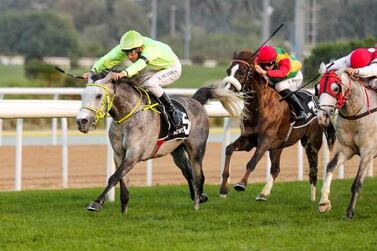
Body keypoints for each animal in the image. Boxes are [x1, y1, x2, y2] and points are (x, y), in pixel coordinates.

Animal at [75, 71, 212, 213]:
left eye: (98, 95)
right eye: (82, 95)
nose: (81, 122)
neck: (127, 115)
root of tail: (196, 101)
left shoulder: (134, 154)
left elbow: (113, 177)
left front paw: (96, 203)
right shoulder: (118, 154)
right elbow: (122, 183)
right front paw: (123, 212)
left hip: (196, 149)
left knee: (199, 177)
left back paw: (196, 206)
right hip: (176, 150)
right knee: (188, 173)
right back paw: (201, 196)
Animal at [206, 50, 334, 202]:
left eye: (242, 72)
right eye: (228, 70)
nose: (227, 91)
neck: (259, 106)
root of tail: (318, 102)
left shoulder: (265, 140)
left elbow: (252, 162)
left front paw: (241, 184)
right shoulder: (248, 139)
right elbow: (229, 149)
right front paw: (223, 188)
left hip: (312, 142)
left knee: (313, 169)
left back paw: (314, 198)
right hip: (278, 146)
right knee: (275, 169)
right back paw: (264, 193)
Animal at [316, 66, 376, 218]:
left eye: (335, 88)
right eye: (318, 88)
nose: (321, 117)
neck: (355, 115)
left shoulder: (368, 152)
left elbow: (357, 183)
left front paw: (349, 212)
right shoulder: (346, 149)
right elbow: (330, 166)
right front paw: (324, 202)